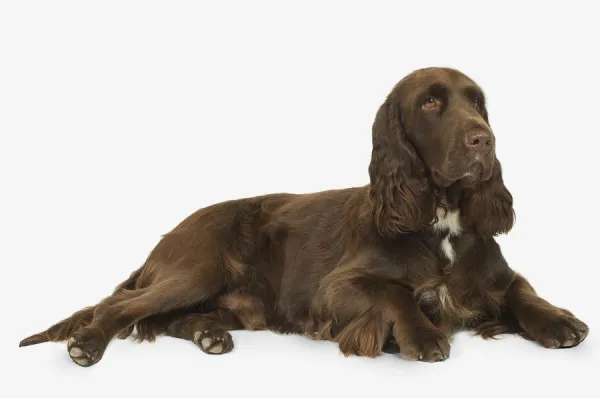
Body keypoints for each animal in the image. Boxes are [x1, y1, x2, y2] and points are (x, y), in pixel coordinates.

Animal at [21, 66, 588, 366]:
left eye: (479, 104)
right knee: (119, 306)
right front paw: (424, 335)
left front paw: (559, 321)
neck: (438, 221)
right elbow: (397, 294)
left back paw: (209, 334)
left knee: (164, 316)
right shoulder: (334, 291)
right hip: (198, 266)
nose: (483, 140)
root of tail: (169, 234)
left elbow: (523, 292)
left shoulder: (494, 277)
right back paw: (87, 343)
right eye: (430, 103)